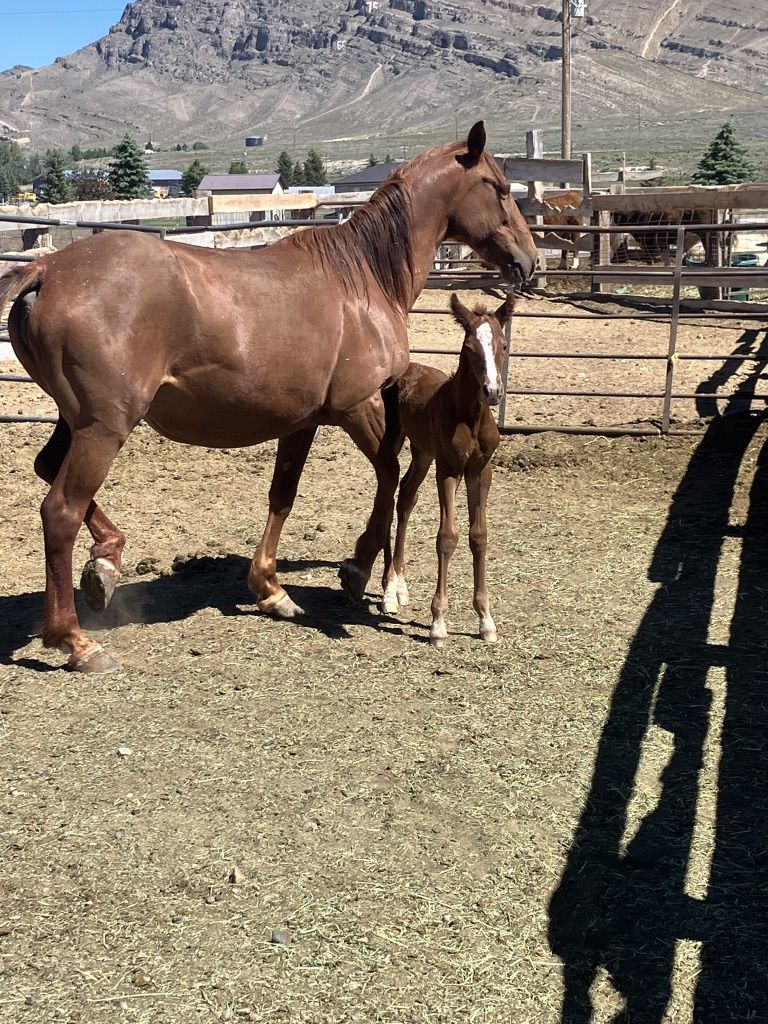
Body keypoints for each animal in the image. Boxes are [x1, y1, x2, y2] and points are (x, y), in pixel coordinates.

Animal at [379, 292, 512, 648]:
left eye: (503, 344)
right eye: (468, 347)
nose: (492, 392)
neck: (471, 417)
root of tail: (409, 367)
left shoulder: (480, 471)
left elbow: (478, 536)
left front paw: (486, 621)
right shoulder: (449, 469)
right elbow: (447, 536)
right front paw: (438, 623)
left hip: (423, 453)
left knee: (406, 498)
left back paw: (399, 586)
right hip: (397, 443)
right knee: (389, 496)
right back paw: (389, 591)